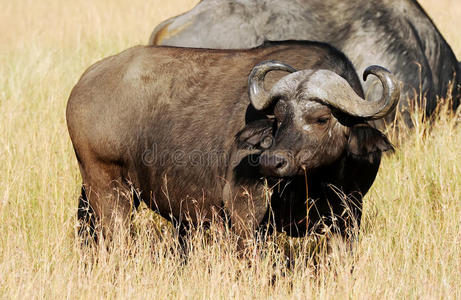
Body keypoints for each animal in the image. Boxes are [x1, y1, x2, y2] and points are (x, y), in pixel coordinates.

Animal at [65, 41, 398, 248]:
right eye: (277, 118)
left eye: (322, 118)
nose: (271, 162)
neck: (314, 184)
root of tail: (85, 82)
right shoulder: (245, 215)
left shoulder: (348, 216)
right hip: (107, 188)